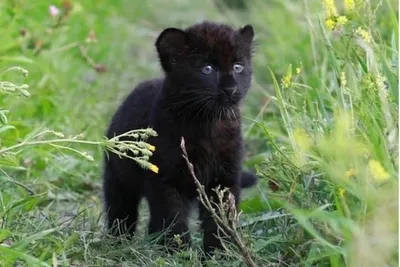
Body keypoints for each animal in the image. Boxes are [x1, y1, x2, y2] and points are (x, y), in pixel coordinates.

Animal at [103, 21, 258, 255]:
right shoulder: (164, 179)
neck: (207, 123)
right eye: (207, 69)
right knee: (121, 211)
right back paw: (119, 242)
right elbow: (172, 217)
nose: (230, 88)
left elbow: (220, 220)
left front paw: (220, 253)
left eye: (238, 67)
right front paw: (178, 252)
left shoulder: (224, 178)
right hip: (118, 178)